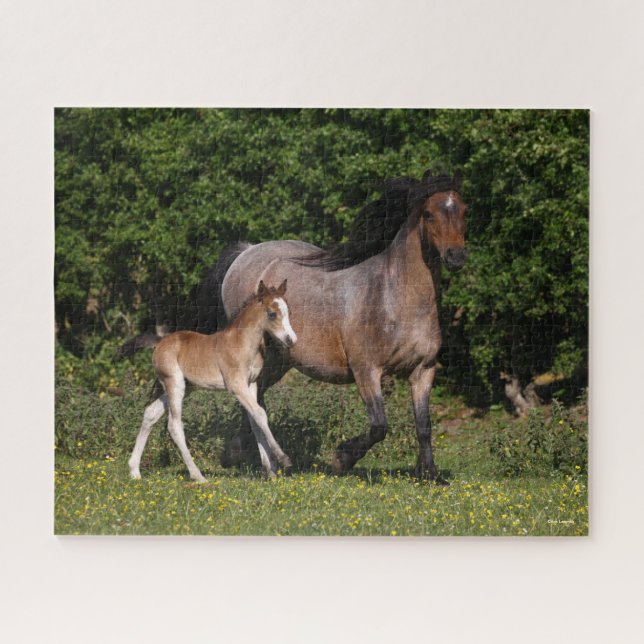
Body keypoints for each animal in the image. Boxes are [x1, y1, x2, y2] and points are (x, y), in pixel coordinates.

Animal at [127, 280, 297, 482]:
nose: (291, 340)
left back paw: (134, 471)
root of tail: (159, 342)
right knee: (174, 425)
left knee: (150, 413)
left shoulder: (251, 384)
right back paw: (198, 476)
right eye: (272, 314)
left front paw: (270, 471)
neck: (242, 343)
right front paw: (283, 459)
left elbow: (255, 420)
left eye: (288, 311)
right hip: (174, 383)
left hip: (184, 386)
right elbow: (260, 414)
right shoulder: (236, 385)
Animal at [211, 171, 468, 480]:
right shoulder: (366, 370)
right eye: (428, 214)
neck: (393, 297)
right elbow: (379, 426)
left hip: (277, 360)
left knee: (255, 397)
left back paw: (242, 455)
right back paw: (249, 458)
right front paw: (341, 459)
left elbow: (424, 426)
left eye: (464, 210)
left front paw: (429, 473)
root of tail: (245, 252)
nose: (456, 256)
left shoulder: (423, 371)